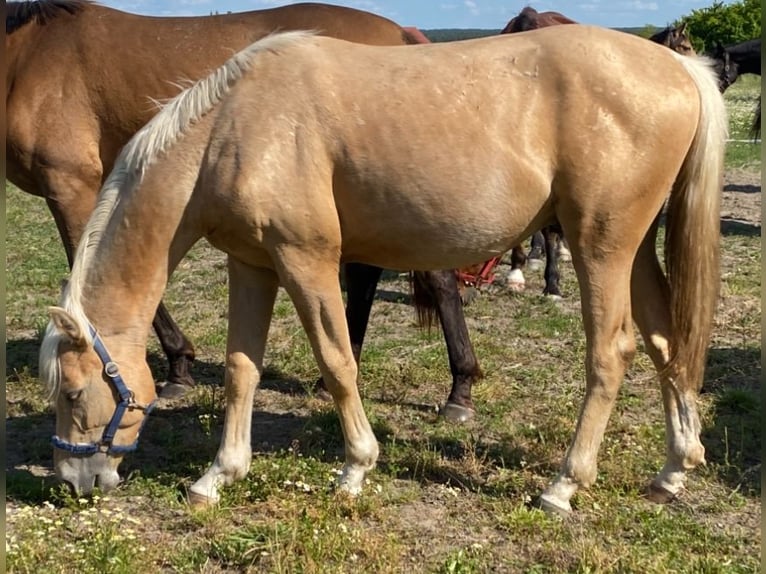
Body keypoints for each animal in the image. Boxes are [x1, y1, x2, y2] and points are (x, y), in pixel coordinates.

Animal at [6, 0, 482, 418]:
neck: (28, 53)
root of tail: (400, 35)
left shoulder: (70, 184)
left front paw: (178, 364)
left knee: (430, 277)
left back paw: (458, 388)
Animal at [40, 27, 726, 515]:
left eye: (73, 393)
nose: (75, 482)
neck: (232, 128)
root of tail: (679, 70)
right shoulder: (253, 264)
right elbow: (241, 370)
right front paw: (218, 475)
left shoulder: (307, 259)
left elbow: (338, 362)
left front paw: (355, 468)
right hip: (633, 249)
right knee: (667, 344)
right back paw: (671, 471)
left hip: (600, 247)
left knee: (612, 353)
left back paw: (563, 486)